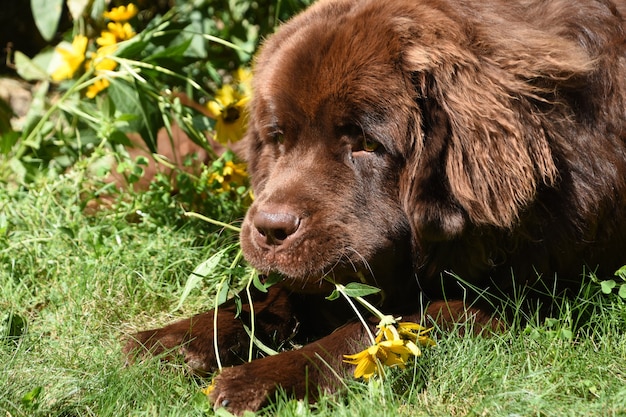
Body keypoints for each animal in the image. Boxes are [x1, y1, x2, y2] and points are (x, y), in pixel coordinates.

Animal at [124, 0, 624, 412]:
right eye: (278, 138)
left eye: (366, 144)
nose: (270, 227)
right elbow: (270, 294)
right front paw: (178, 338)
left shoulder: (511, 296)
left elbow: (376, 330)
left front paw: (260, 378)